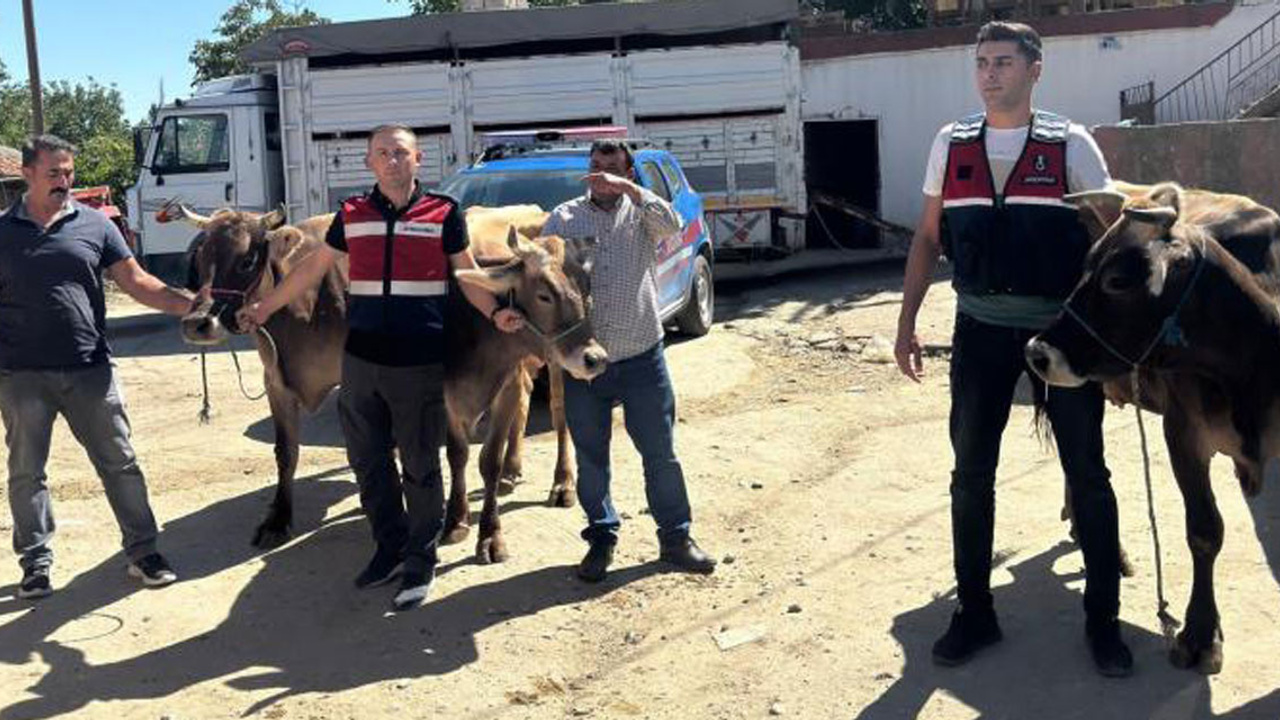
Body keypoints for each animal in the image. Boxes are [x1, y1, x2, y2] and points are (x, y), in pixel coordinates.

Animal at [1024, 180, 1280, 671]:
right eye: (1086, 268)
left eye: (1117, 280)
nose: (1037, 352)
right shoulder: (1183, 434)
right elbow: (1204, 531)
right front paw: (1200, 635)